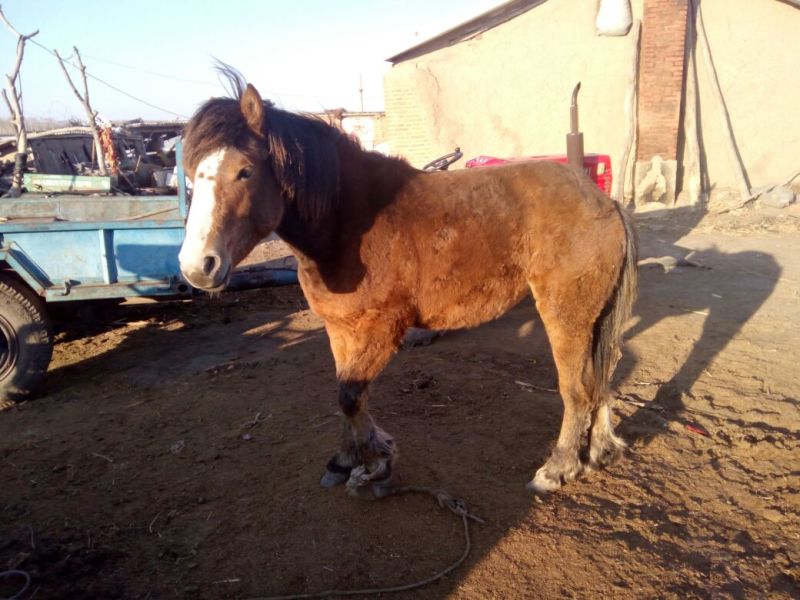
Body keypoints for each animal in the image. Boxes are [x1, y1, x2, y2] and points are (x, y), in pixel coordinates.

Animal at [178, 69, 638, 495]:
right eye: (189, 172)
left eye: (244, 171)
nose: (197, 267)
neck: (351, 223)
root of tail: (603, 201)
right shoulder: (340, 329)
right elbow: (347, 394)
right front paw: (348, 459)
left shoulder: (382, 329)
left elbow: (351, 395)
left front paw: (375, 463)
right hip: (593, 317)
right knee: (601, 378)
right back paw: (600, 450)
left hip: (566, 314)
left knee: (576, 388)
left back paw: (557, 468)